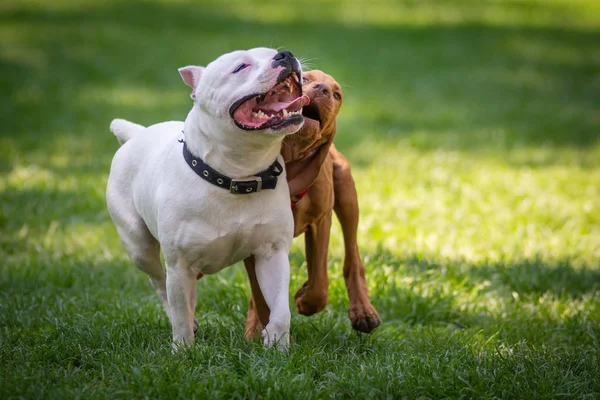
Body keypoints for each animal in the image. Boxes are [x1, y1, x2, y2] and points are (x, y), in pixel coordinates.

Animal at [105, 47, 310, 350]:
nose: (285, 55)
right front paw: (183, 350)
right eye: (240, 67)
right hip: (138, 246)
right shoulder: (179, 265)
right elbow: (179, 313)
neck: (237, 177)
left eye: (273, 52)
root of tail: (137, 134)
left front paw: (277, 344)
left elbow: (281, 309)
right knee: (160, 283)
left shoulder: (272, 254)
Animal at [243, 70, 380, 336]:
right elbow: (260, 294)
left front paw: (305, 300)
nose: (322, 90)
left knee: (353, 258)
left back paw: (363, 311)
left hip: (346, 192)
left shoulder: (320, 221)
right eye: (305, 79)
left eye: (337, 95)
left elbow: (319, 284)